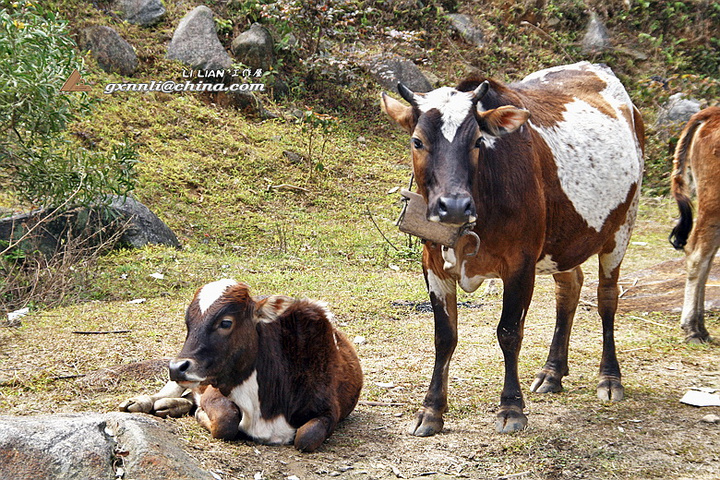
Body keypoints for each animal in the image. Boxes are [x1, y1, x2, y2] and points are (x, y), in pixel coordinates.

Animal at [121, 280, 366, 452]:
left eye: (226, 322)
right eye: (188, 323)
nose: (176, 366)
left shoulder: (329, 410)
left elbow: (306, 438)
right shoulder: (215, 390)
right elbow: (226, 422)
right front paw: (201, 414)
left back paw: (172, 406)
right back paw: (142, 402)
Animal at [382, 61, 648, 436]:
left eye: (478, 141)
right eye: (417, 141)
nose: (454, 206)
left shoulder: (520, 265)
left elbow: (509, 333)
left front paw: (511, 408)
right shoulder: (432, 262)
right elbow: (444, 336)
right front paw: (431, 409)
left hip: (622, 228)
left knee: (607, 298)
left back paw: (610, 378)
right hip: (565, 241)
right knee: (569, 289)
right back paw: (552, 372)